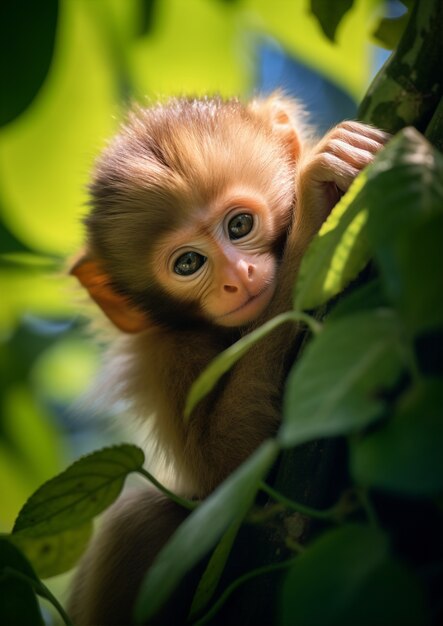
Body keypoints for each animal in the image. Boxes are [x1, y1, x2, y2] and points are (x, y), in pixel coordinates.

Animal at [69, 92, 388, 624]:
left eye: (239, 225)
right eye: (188, 263)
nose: (237, 277)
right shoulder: (169, 354)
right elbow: (225, 469)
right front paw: (311, 213)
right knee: (140, 517)